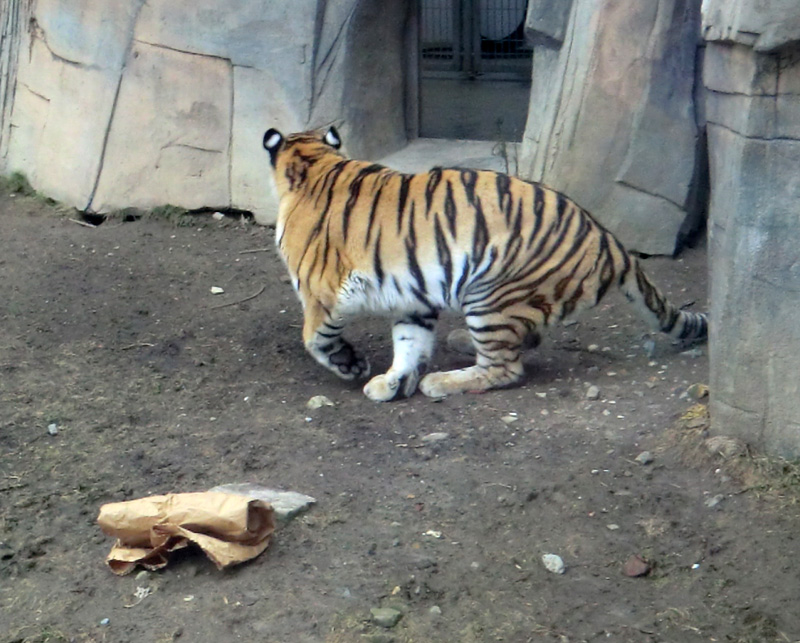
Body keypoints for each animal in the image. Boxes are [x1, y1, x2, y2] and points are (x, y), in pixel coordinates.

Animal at [262, 126, 708, 402]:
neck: (316, 161)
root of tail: (607, 238)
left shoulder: (322, 293)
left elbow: (315, 339)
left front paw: (352, 365)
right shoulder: (413, 301)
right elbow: (410, 343)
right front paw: (394, 383)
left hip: (491, 295)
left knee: (505, 368)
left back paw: (441, 381)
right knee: (523, 343)